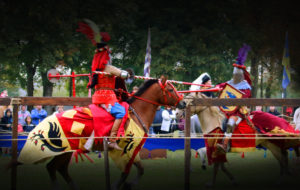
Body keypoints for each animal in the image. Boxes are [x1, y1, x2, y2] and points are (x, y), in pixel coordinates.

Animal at [8, 76, 185, 190]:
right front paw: (122, 185)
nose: (183, 103)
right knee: (53, 168)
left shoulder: (132, 151)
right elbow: (130, 172)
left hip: (66, 152)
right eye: (170, 89)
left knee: (58, 169)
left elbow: (138, 170)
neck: (137, 112)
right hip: (63, 150)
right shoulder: (127, 149)